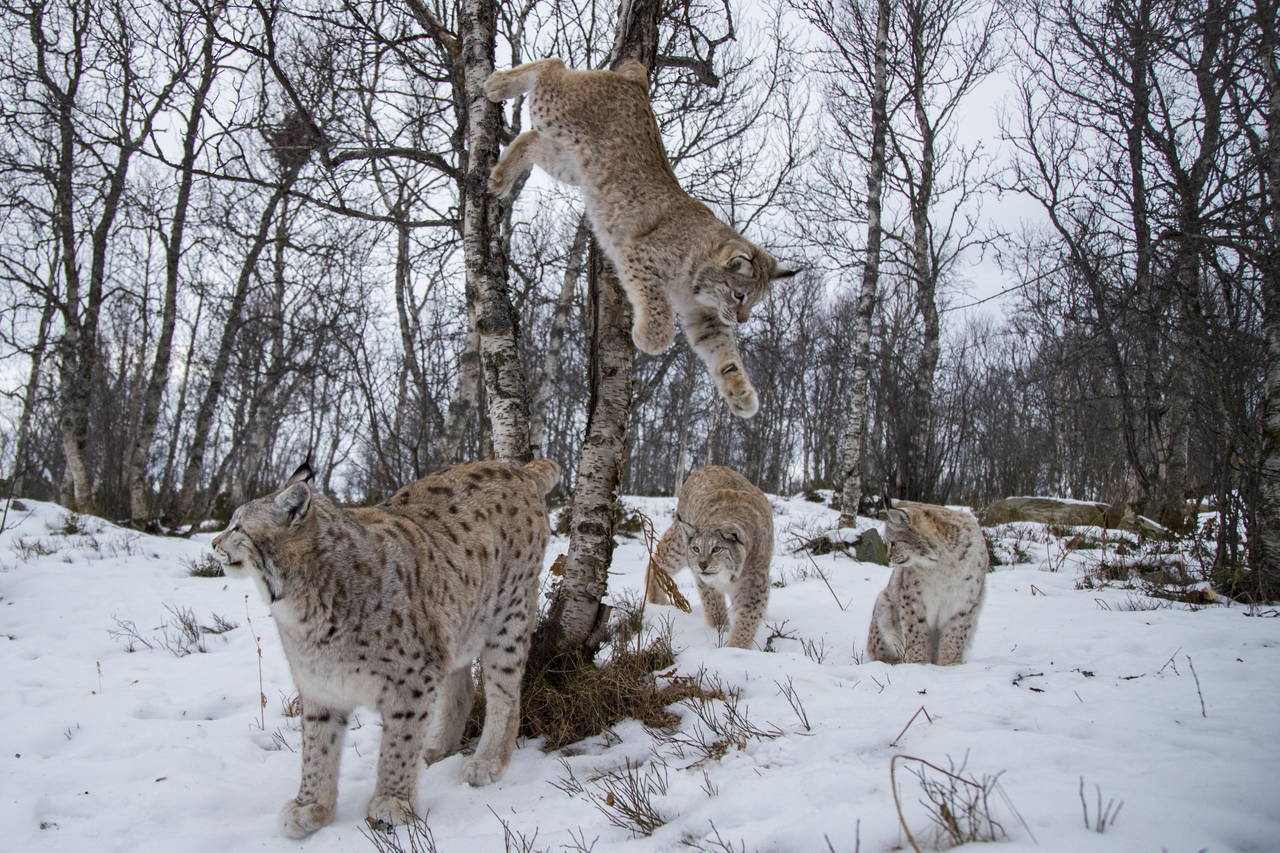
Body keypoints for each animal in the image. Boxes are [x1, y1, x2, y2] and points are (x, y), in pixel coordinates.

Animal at [209, 455, 555, 835]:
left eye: (238, 528)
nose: (213, 543)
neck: (298, 601)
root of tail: (515, 468)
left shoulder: (413, 677)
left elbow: (399, 740)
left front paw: (392, 801)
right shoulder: (319, 684)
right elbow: (317, 747)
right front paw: (312, 805)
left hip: (508, 615)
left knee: (504, 690)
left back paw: (489, 760)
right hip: (457, 622)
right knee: (462, 687)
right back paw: (438, 748)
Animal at [483, 58, 793, 417]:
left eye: (753, 303)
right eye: (739, 296)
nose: (742, 321)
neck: (697, 279)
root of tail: (635, 86)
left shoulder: (704, 316)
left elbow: (724, 352)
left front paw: (740, 392)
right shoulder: (638, 254)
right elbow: (658, 307)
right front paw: (650, 339)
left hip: (572, 163)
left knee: (531, 138)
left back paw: (500, 178)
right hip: (554, 110)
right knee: (552, 66)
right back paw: (497, 86)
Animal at [650, 466, 768, 645]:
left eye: (716, 549)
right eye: (696, 549)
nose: (702, 565)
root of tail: (709, 466)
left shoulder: (755, 581)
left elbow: (748, 618)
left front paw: (736, 646)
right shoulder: (705, 580)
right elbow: (714, 604)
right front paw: (719, 630)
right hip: (680, 547)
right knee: (657, 559)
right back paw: (655, 601)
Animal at [870, 499, 988, 666]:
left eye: (893, 543)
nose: (888, 558)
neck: (944, 563)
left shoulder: (967, 600)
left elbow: (955, 635)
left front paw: (950, 664)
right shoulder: (912, 597)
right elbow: (915, 631)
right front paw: (918, 663)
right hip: (884, 600)